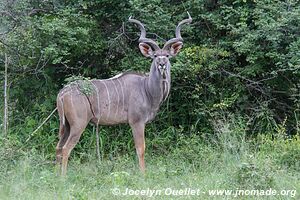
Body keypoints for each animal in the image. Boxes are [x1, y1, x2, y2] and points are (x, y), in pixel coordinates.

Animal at [56, 12, 192, 175]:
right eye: (154, 56)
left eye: (167, 55)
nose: (162, 64)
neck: (146, 89)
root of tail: (62, 93)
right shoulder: (136, 122)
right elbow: (141, 149)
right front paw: (143, 175)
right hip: (78, 124)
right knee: (66, 148)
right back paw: (63, 177)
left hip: (66, 125)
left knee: (58, 147)